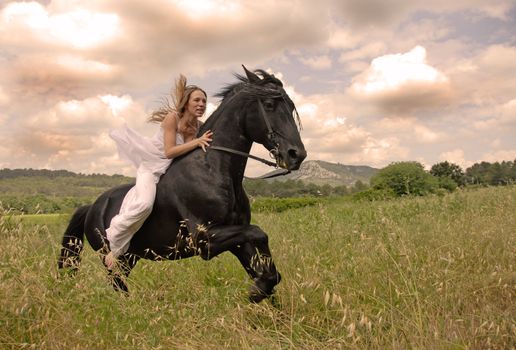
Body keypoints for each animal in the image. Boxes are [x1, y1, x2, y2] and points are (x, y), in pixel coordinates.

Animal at [57, 67, 306, 302]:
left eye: (291, 106)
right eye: (269, 104)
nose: (297, 155)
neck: (212, 169)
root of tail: (91, 207)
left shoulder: (237, 239)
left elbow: (265, 266)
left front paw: (262, 292)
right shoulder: (205, 241)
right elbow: (259, 233)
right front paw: (257, 292)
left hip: (130, 257)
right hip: (114, 258)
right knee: (117, 285)